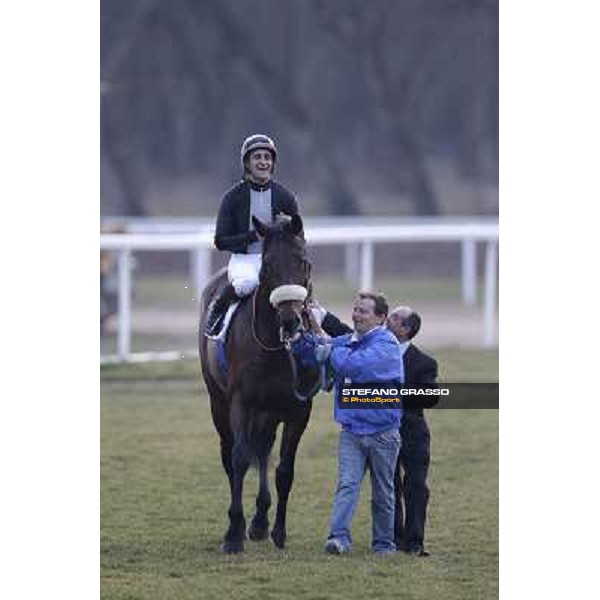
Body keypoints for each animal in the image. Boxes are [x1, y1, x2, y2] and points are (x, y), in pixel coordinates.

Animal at [198, 214, 322, 552]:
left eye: (304, 262)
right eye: (266, 266)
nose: (291, 321)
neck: (277, 349)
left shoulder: (297, 410)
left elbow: (284, 470)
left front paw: (278, 531)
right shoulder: (242, 403)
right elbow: (240, 460)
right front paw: (233, 533)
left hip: (269, 413)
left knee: (264, 451)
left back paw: (260, 522)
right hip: (219, 403)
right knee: (229, 454)